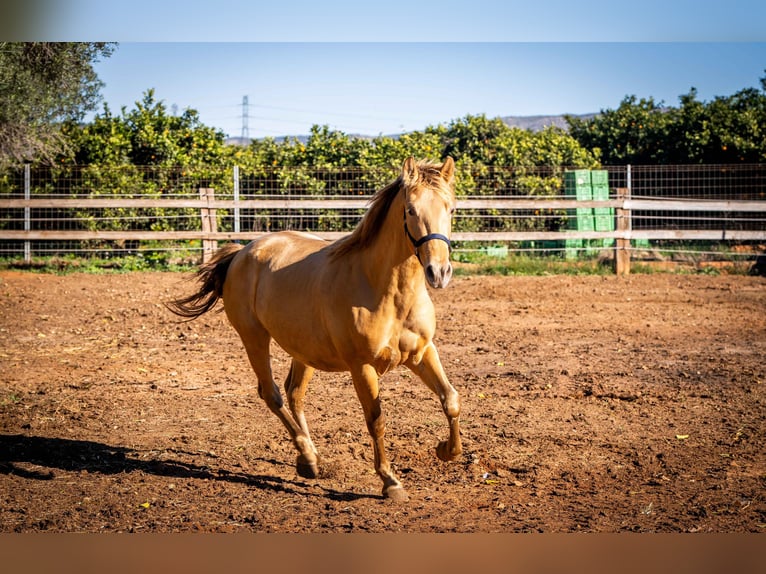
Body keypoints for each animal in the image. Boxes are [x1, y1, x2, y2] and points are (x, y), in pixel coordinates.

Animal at [167, 159, 462, 504]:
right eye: (411, 210)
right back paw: (308, 457)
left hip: (302, 349)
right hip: (254, 338)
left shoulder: (422, 353)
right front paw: (390, 482)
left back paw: (310, 459)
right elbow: (376, 420)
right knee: (272, 394)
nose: (438, 273)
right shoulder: (362, 367)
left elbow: (450, 399)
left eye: (451, 209)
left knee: (294, 393)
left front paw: (446, 450)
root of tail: (242, 252)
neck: (387, 291)